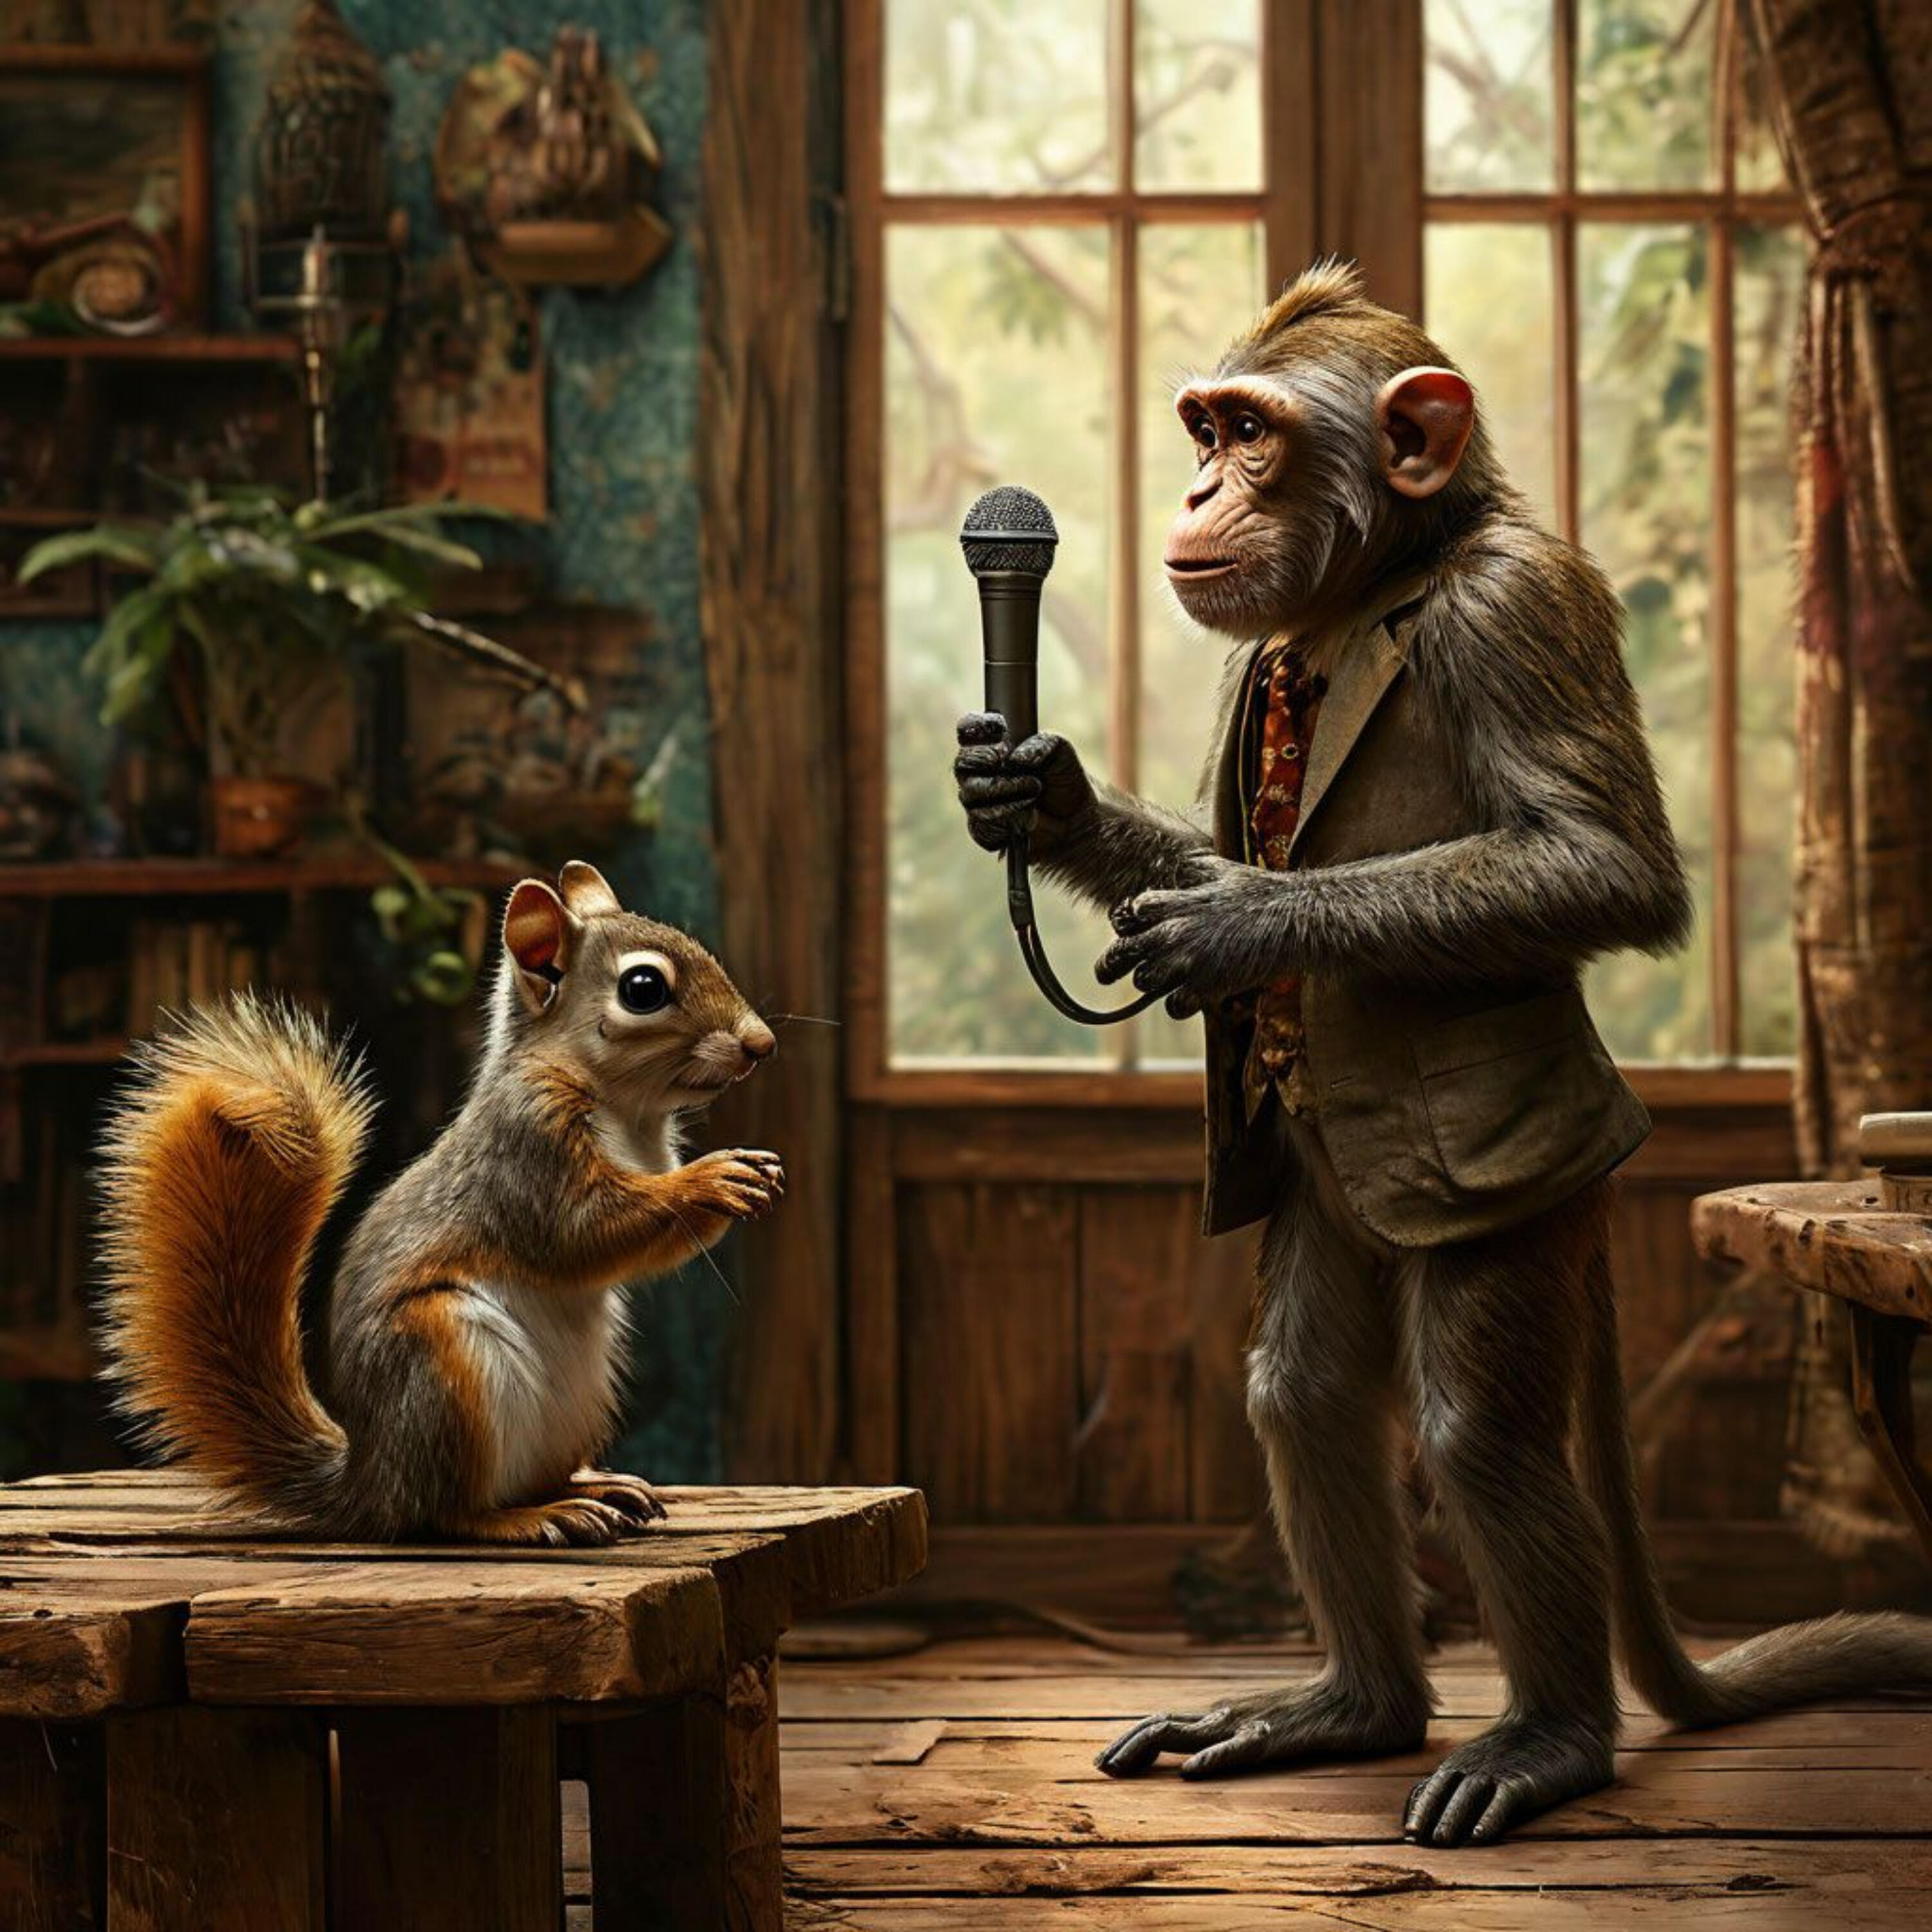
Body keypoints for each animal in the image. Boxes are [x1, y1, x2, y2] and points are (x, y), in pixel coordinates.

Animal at [952, 259, 1932, 1847]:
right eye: (1206, 428)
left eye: (1252, 434)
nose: (1200, 484)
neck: (1369, 592)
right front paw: (1035, 792)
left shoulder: (1509, 615)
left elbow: (1603, 865)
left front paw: (1243, 920)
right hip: (1325, 1195)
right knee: (1299, 1386)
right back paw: (1352, 1705)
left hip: (1523, 1200)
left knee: (1479, 1431)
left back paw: (1548, 1741)